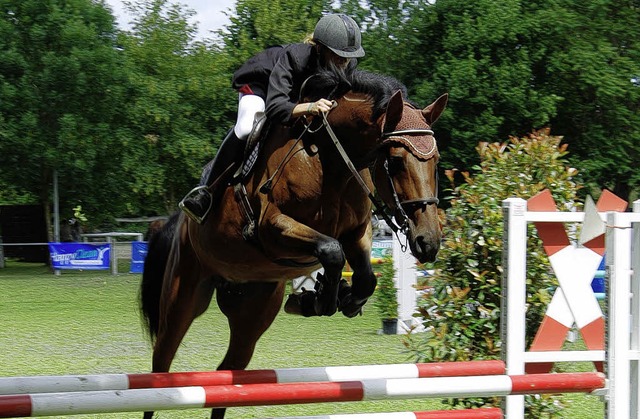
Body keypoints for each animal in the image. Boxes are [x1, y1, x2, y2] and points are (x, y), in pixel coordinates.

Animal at [141, 70, 448, 418]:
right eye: (395, 162)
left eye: (436, 160)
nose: (428, 241)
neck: (329, 160)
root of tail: (177, 224)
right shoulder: (271, 228)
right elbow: (331, 251)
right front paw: (321, 300)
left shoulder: (356, 232)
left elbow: (365, 276)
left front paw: (340, 299)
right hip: (183, 296)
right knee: (161, 366)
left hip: (253, 309)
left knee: (228, 373)